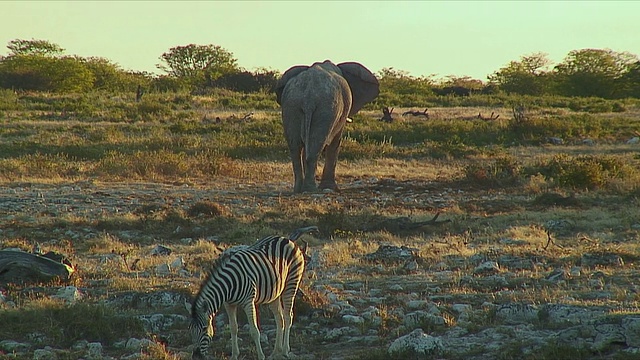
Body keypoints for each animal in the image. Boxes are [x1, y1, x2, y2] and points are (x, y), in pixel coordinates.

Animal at [190, 226, 320, 358]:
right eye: (191, 330)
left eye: (204, 328)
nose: (196, 356)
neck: (229, 284)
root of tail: (286, 239)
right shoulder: (229, 304)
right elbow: (233, 328)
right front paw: (234, 355)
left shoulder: (248, 302)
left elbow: (254, 331)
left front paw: (261, 356)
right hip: (275, 293)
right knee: (280, 319)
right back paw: (275, 352)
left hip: (292, 283)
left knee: (288, 316)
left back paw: (284, 351)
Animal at [272, 60, 378, 193]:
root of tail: (308, 97)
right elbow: (335, 141)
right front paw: (331, 188)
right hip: (327, 108)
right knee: (316, 144)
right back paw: (311, 190)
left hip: (291, 106)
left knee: (296, 147)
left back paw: (299, 190)